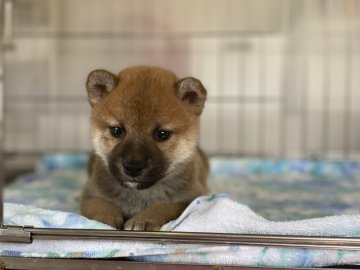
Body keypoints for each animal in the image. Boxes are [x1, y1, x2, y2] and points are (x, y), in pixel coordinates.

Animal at [79, 65, 208, 230]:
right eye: (117, 130)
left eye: (162, 134)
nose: (133, 167)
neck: (139, 194)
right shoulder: (91, 194)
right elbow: (100, 205)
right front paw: (104, 219)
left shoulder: (191, 198)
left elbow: (164, 207)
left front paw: (143, 219)